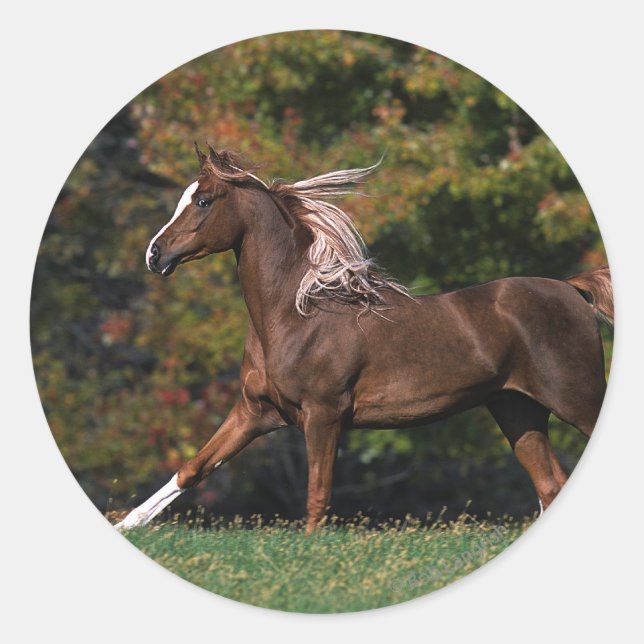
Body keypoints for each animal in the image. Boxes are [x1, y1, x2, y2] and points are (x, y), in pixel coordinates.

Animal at [114, 146, 613, 533]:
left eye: (202, 200)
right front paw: (126, 525)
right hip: (517, 410)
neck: (297, 316)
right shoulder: (256, 412)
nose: (154, 255)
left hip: (577, 398)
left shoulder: (324, 416)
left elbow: (317, 496)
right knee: (550, 486)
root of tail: (571, 288)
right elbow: (192, 469)